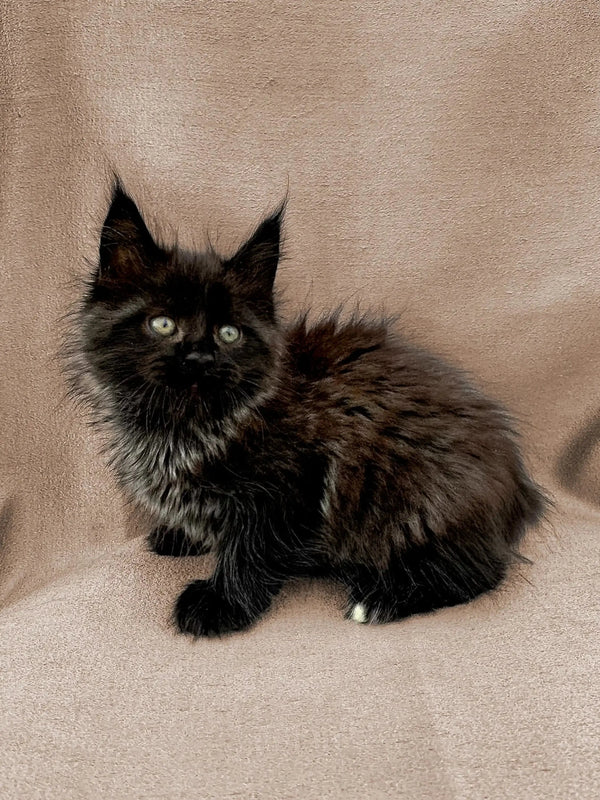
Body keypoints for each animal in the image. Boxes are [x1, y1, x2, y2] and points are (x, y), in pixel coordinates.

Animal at [68, 183, 548, 636]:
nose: (200, 357)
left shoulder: (292, 487)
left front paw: (220, 604)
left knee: (481, 571)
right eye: (163, 324)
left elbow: (251, 550)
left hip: (420, 504)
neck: (181, 427)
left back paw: (380, 598)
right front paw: (183, 536)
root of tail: (517, 485)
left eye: (228, 333)